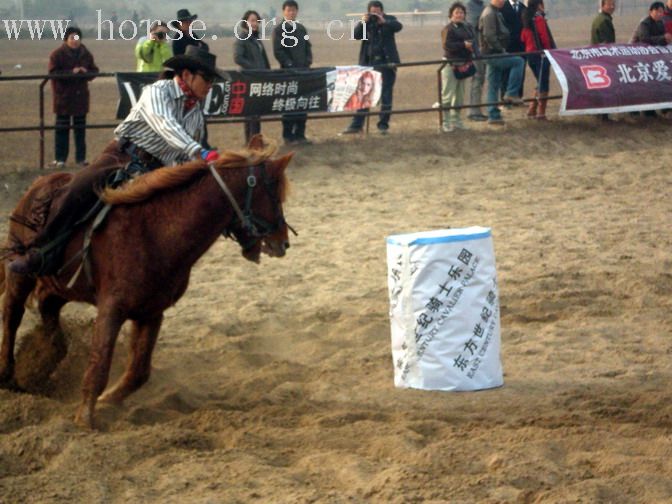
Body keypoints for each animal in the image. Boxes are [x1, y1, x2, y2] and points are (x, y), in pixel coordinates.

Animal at [0, 136, 294, 428]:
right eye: (274, 194)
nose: (283, 243)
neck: (156, 231)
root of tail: (39, 184)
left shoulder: (151, 312)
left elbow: (139, 372)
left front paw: (108, 399)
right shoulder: (111, 308)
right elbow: (99, 365)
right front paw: (85, 419)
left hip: (61, 284)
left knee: (48, 308)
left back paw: (44, 356)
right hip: (20, 275)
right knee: (12, 314)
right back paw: (8, 375)